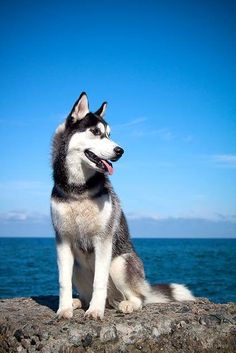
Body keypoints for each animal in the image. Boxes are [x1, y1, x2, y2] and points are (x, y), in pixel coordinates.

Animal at [50, 92, 195, 318]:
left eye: (109, 134)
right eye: (96, 132)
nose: (120, 150)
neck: (78, 190)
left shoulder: (103, 240)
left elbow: (99, 282)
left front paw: (95, 311)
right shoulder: (63, 240)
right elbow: (63, 282)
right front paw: (64, 309)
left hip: (120, 263)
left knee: (139, 298)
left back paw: (126, 304)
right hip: (78, 267)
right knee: (86, 293)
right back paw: (78, 302)